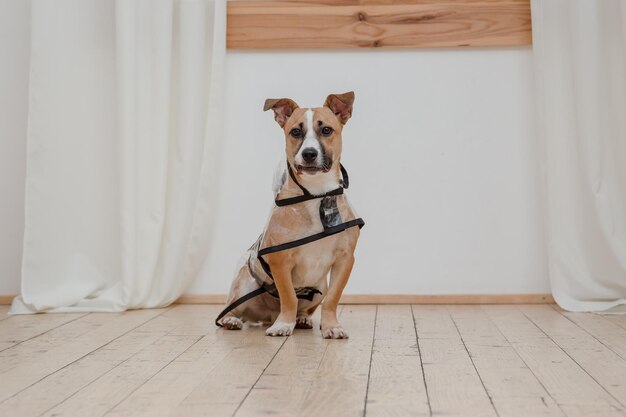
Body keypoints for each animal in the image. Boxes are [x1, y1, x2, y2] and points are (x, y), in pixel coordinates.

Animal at [218, 92, 360, 338]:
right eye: (295, 132)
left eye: (326, 130)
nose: (309, 153)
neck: (316, 194)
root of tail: (265, 315)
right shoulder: (280, 260)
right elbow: (289, 296)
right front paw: (284, 324)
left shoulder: (345, 259)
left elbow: (332, 299)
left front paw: (331, 326)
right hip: (243, 284)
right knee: (233, 308)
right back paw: (233, 320)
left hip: (318, 288)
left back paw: (302, 318)